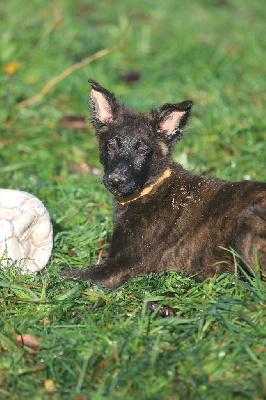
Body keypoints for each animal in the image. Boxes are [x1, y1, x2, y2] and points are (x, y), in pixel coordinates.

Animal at [60, 80, 266, 288]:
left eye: (142, 151)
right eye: (111, 146)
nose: (116, 180)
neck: (150, 189)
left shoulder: (117, 268)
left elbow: (62, 274)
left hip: (247, 219)